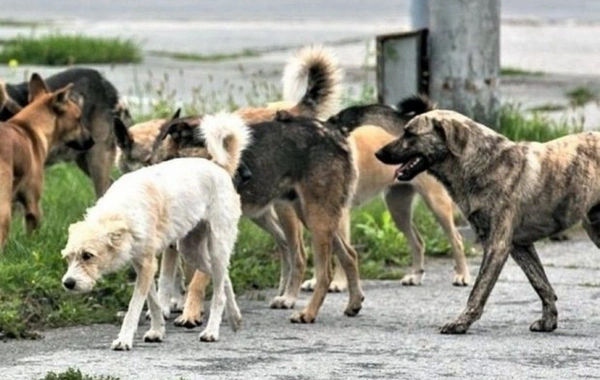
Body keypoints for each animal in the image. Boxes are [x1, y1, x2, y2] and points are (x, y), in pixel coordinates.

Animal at [59, 111, 250, 348]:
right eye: (68, 258)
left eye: (88, 256)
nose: (68, 283)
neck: (121, 211)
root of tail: (219, 167)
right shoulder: (143, 265)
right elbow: (154, 302)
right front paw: (157, 331)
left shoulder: (148, 265)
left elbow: (135, 307)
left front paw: (124, 339)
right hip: (192, 251)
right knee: (223, 279)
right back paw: (234, 317)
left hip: (216, 246)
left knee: (219, 292)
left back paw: (212, 331)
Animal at [300, 95, 468, 290]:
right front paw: (316, 281)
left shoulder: (340, 216)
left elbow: (341, 253)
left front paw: (338, 283)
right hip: (398, 209)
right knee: (418, 242)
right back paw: (415, 276)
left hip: (436, 204)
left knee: (456, 239)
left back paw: (462, 275)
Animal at [376, 108, 600, 334]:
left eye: (410, 134)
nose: (378, 153)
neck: (483, 164)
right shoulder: (519, 246)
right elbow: (541, 284)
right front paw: (548, 321)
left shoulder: (497, 246)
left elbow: (478, 290)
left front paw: (461, 323)